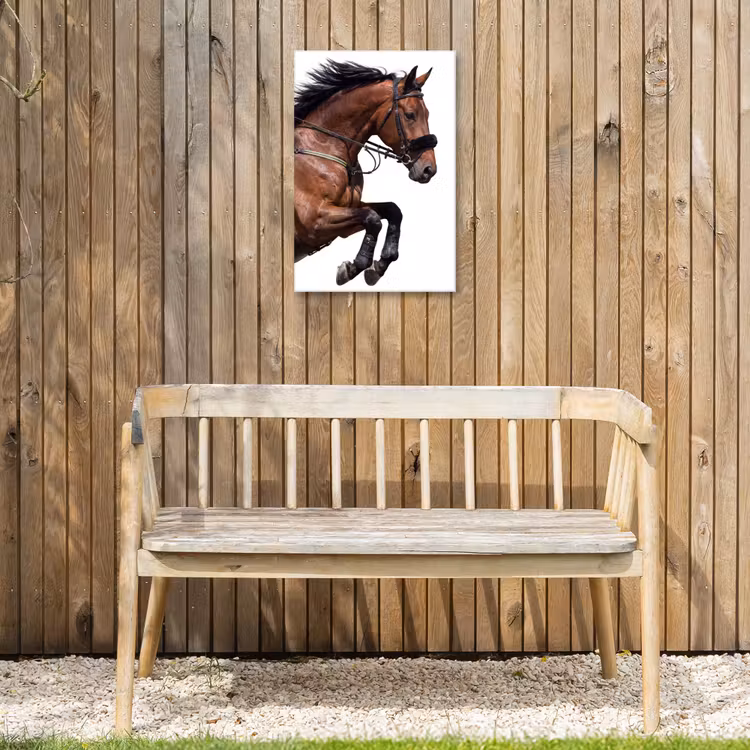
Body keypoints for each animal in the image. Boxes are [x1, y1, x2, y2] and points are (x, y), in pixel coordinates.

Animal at [294, 60, 438, 286]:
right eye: (410, 115)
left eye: (428, 114)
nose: (429, 169)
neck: (324, 146)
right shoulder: (314, 221)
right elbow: (373, 218)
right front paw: (354, 267)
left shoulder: (343, 218)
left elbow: (391, 211)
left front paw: (380, 264)